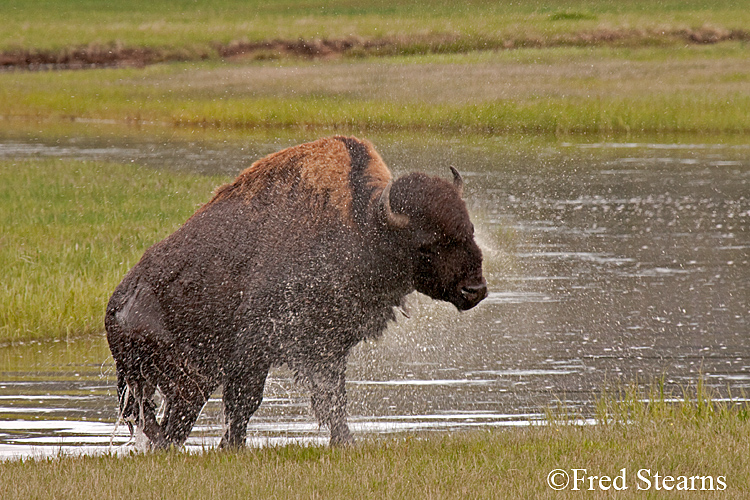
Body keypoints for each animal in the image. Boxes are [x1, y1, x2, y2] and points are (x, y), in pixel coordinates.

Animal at [106, 137, 490, 450]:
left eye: (469, 229)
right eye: (426, 245)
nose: (474, 290)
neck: (365, 225)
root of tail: (116, 304)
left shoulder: (321, 346)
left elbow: (322, 397)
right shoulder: (278, 348)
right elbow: (269, 400)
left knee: (163, 416)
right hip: (174, 374)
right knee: (161, 415)